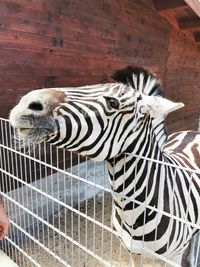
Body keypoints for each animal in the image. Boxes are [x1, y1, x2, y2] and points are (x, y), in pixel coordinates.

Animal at [8, 66, 199, 266]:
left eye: (113, 102)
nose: (25, 103)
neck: (132, 213)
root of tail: (190, 132)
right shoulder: (132, 250)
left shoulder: (173, 257)